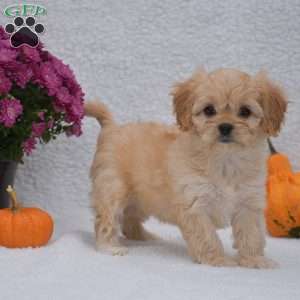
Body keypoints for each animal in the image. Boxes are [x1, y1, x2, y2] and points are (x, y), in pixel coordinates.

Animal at [84, 69, 286, 268]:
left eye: (245, 111)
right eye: (209, 110)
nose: (225, 127)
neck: (224, 159)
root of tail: (112, 127)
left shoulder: (248, 203)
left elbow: (252, 235)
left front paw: (255, 260)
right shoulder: (195, 206)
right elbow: (207, 237)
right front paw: (217, 260)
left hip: (141, 199)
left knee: (129, 220)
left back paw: (145, 237)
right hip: (113, 189)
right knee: (106, 219)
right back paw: (110, 247)